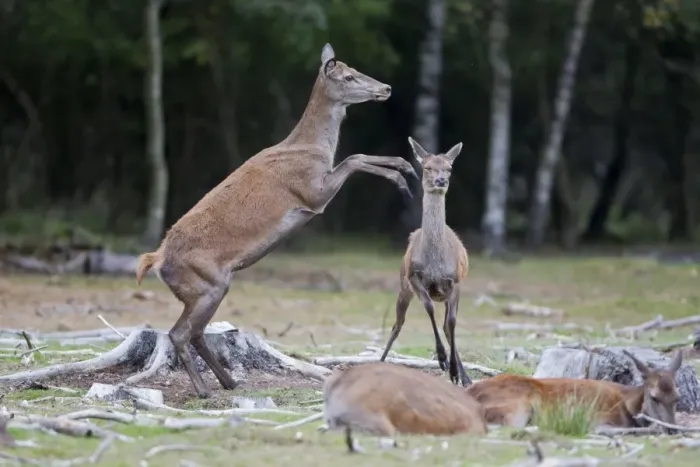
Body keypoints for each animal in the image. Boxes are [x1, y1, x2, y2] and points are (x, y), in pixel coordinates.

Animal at [134, 43, 418, 398]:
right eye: (349, 76)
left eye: (357, 69)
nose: (386, 88)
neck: (312, 148)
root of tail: (157, 259)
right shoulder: (312, 193)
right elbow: (354, 158)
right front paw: (404, 180)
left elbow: (357, 156)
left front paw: (407, 168)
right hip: (206, 283)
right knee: (180, 333)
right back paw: (204, 390)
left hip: (204, 289)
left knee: (194, 332)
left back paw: (229, 381)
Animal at [379, 137, 471, 387]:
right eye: (427, 167)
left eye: (449, 168)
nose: (441, 180)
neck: (435, 263)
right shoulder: (414, 277)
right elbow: (429, 308)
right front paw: (441, 359)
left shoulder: (455, 281)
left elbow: (451, 323)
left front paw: (454, 371)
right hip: (403, 285)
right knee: (397, 324)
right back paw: (379, 361)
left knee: (447, 325)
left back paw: (464, 376)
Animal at [465, 350, 683, 434]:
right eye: (654, 397)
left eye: (677, 398)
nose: (673, 429)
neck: (628, 404)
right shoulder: (599, 418)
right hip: (517, 407)